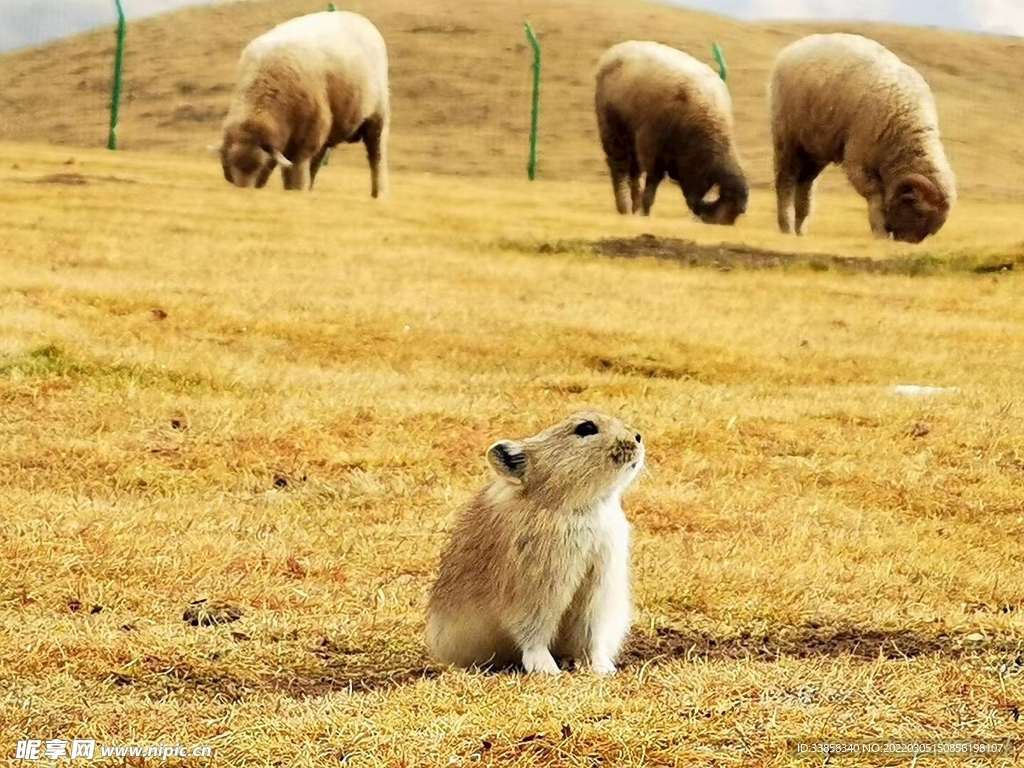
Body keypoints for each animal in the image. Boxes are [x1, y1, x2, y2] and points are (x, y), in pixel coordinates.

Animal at [217, 10, 391, 195]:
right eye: (228, 166)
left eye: (259, 165)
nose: (243, 191)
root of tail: (359, 18)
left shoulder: (303, 145)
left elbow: (295, 177)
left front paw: (296, 192)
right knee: (317, 163)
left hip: (377, 116)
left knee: (376, 157)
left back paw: (379, 195)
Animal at [589, 39, 749, 225]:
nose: (703, 220)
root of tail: (616, 50)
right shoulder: (652, 151)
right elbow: (651, 186)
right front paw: (645, 213)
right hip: (614, 133)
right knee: (619, 169)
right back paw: (625, 207)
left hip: (632, 141)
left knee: (634, 173)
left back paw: (633, 206)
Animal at [770, 33, 954, 241]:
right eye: (919, 213)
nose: (904, 242)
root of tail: (794, 47)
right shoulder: (858, 163)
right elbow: (876, 196)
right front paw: (880, 234)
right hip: (788, 140)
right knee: (786, 181)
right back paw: (786, 228)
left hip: (814, 150)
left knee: (805, 185)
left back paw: (801, 230)